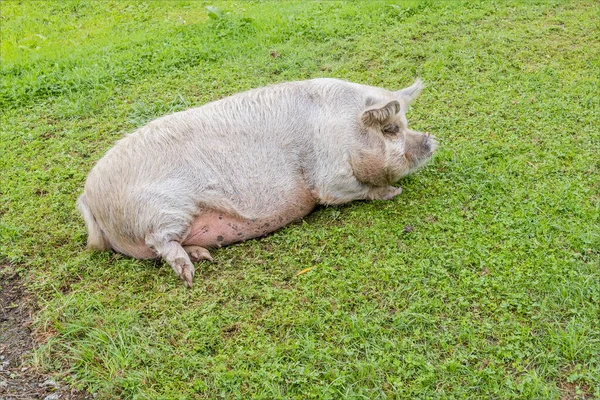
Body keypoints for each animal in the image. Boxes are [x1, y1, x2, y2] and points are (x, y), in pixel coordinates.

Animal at [77, 78, 438, 286]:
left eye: (406, 123)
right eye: (390, 129)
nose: (431, 140)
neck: (344, 128)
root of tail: (89, 196)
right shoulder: (328, 176)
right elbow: (349, 191)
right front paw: (393, 191)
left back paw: (203, 256)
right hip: (163, 208)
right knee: (159, 240)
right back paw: (189, 275)